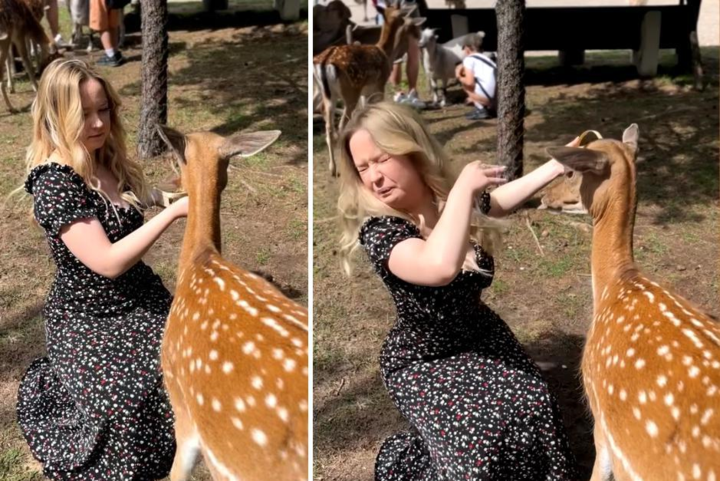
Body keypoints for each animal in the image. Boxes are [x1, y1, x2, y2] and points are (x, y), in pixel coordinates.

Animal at [314, 5, 424, 174]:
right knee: (340, 126)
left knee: (328, 126)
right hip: (350, 92)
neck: (386, 53)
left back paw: (333, 169)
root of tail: (325, 62)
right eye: (410, 23)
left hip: (324, 94)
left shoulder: (365, 92)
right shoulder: (379, 85)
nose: (420, 36)